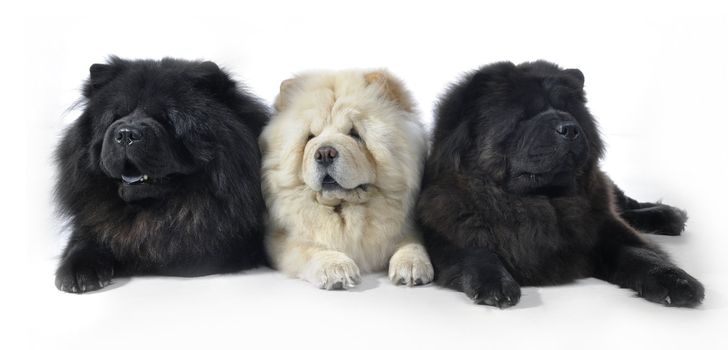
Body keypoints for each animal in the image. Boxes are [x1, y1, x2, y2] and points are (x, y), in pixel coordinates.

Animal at [260, 69, 432, 290]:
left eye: (355, 134)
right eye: (310, 137)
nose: (325, 153)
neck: (345, 208)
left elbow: (411, 242)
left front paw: (412, 266)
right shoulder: (280, 238)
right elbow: (309, 248)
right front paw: (336, 269)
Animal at [416, 61, 704, 308]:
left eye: (567, 110)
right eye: (524, 116)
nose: (570, 128)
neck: (539, 203)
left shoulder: (604, 228)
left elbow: (640, 253)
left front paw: (678, 281)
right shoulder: (446, 230)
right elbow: (475, 250)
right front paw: (495, 284)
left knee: (625, 203)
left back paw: (669, 216)